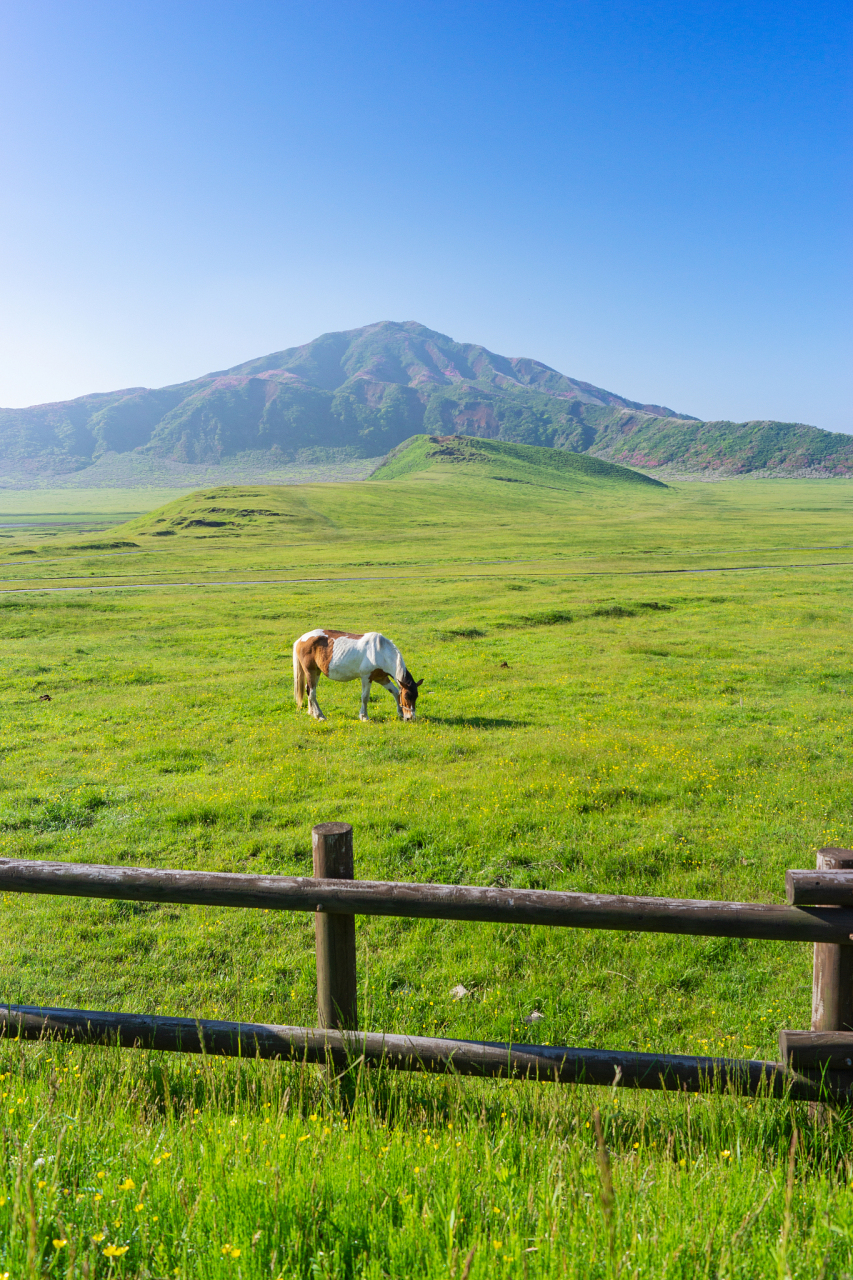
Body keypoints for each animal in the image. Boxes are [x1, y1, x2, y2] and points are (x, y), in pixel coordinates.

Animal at [292, 627, 422, 721]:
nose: (411, 718)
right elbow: (365, 697)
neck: (381, 651)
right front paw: (364, 717)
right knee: (312, 692)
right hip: (311, 671)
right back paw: (320, 715)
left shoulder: (382, 678)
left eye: (416, 696)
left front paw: (400, 713)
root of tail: (301, 639)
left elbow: (395, 692)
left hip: (316, 672)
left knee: (308, 689)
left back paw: (312, 713)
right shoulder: (366, 677)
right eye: (407, 696)